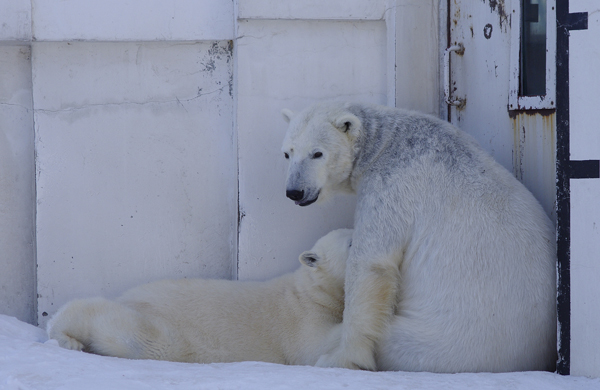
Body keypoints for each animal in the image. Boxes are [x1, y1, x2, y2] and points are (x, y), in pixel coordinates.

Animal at [49, 229, 354, 366]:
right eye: (351, 242)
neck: (312, 289)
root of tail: (128, 296)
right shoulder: (300, 316)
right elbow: (315, 346)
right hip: (163, 331)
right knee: (129, 333)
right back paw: (67, 337)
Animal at [282, 100, 556, 372]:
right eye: (287, 153)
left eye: (317, 153)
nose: (295, 191)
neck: (385, 142)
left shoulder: (390, 187)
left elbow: (370, 265)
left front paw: (340, 358)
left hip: (435, 341)